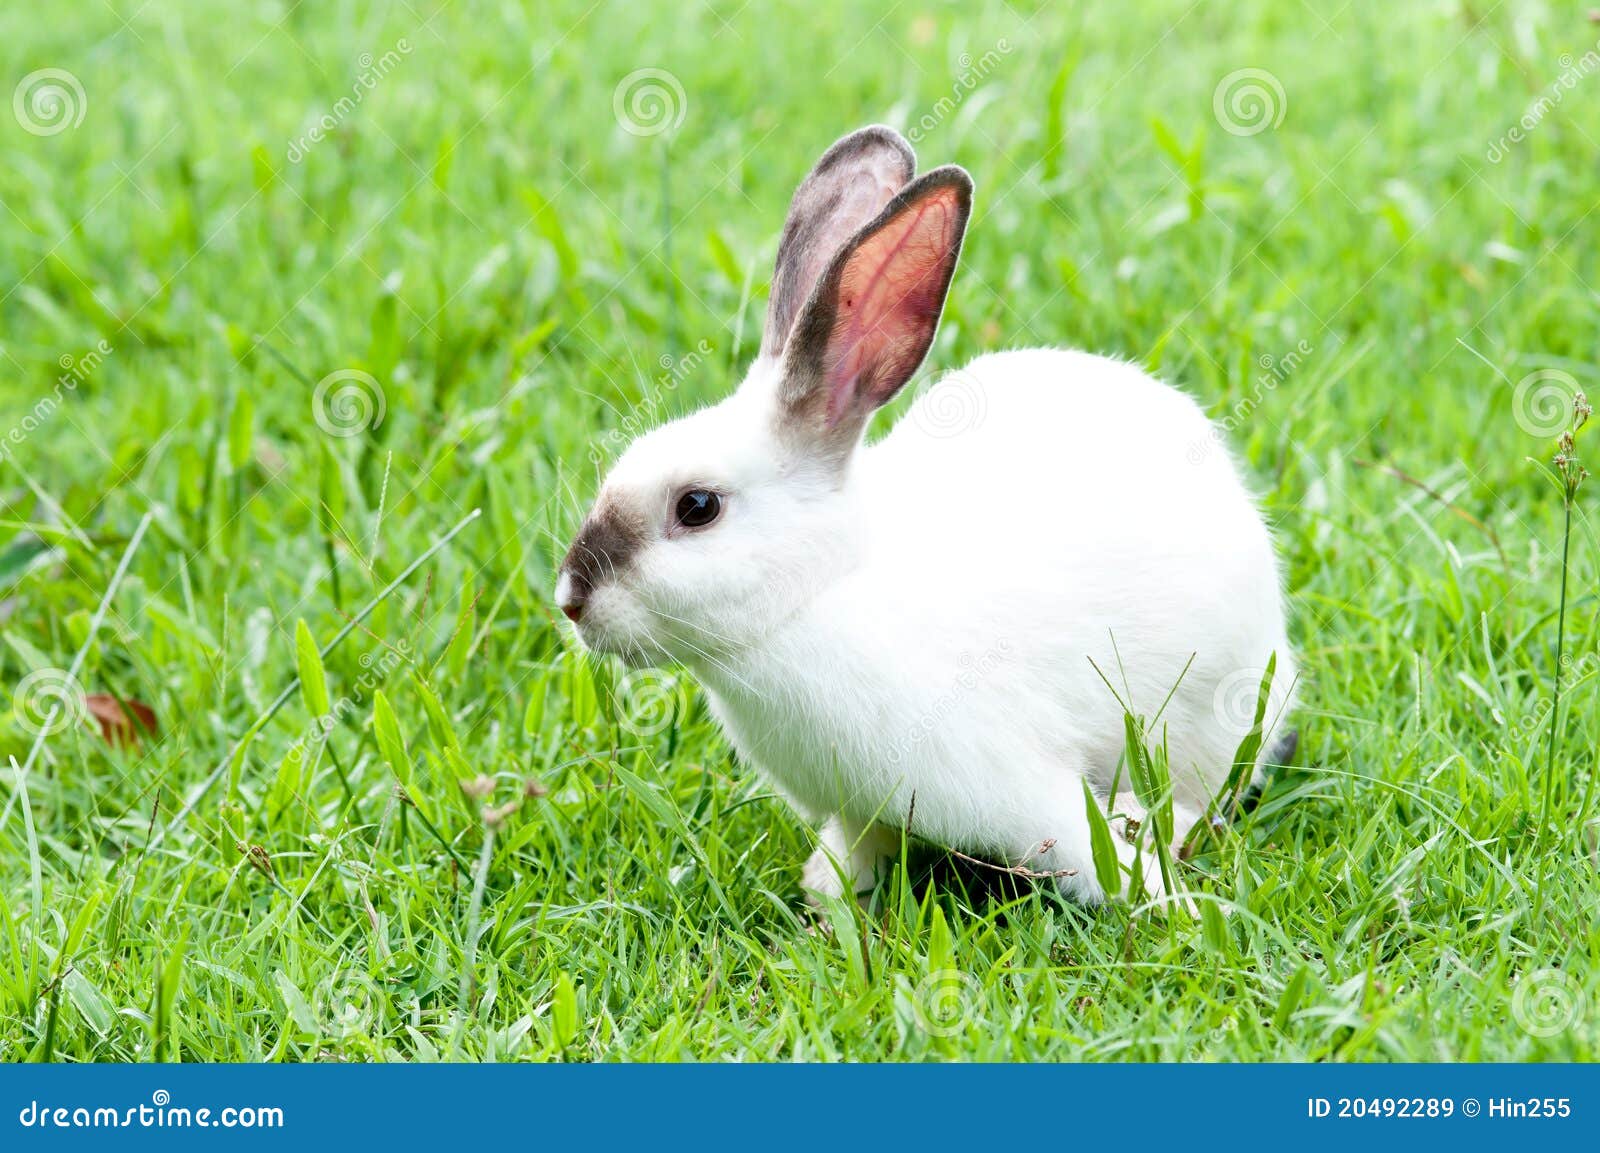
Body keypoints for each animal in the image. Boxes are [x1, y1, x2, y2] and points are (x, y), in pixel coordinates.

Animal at [555, 125, 1296, 906]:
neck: (819, 594)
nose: (571, 599)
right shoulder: (860, 808)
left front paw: (1167, 903)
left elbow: (1089, 852)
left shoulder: (1025, 789)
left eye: (697, 507)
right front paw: (829, 896)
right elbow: (858, 847)